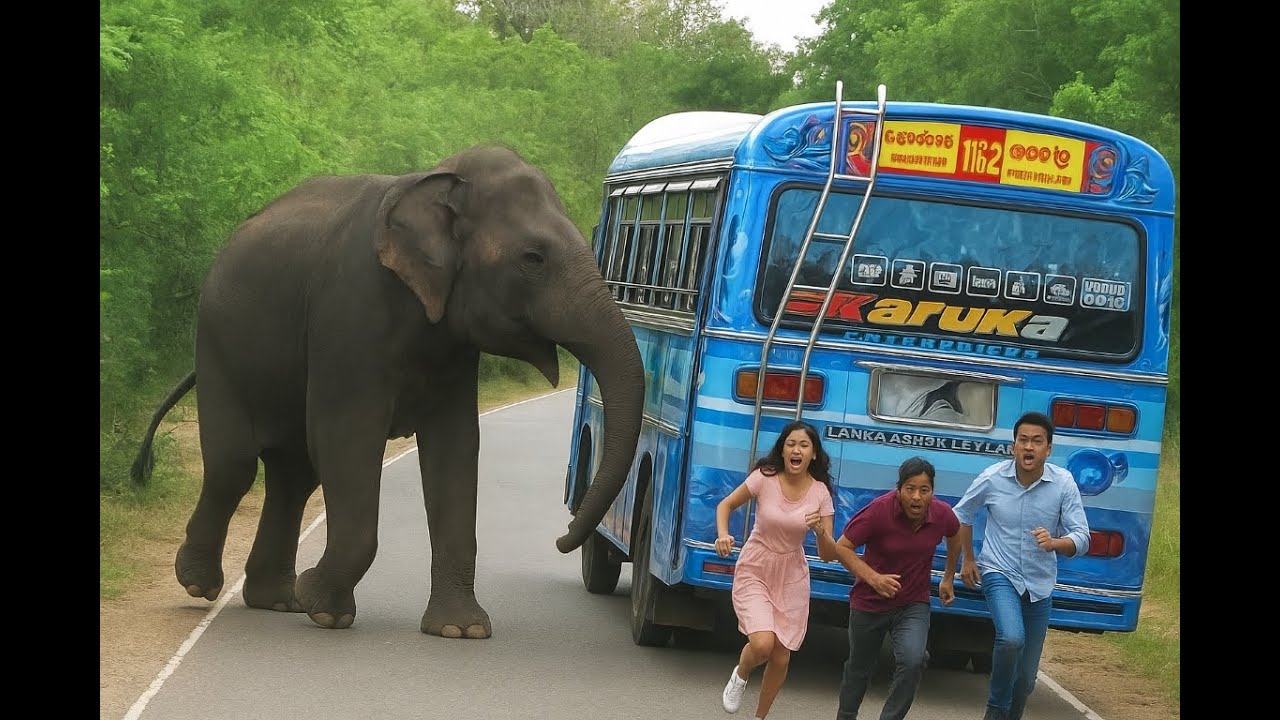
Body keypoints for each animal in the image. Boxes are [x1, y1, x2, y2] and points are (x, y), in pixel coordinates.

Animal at [131, 144, 643, 639]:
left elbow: (456, 448)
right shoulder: (349, 316)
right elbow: (346, 437)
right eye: (532, 258)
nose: (562, 537)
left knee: (293, 475)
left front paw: (460, 630)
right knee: (234, 464)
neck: (439, 178)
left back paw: (276, 600)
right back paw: (201, 584)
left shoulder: (452, 344)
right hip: (218, 343)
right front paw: (324, 610)